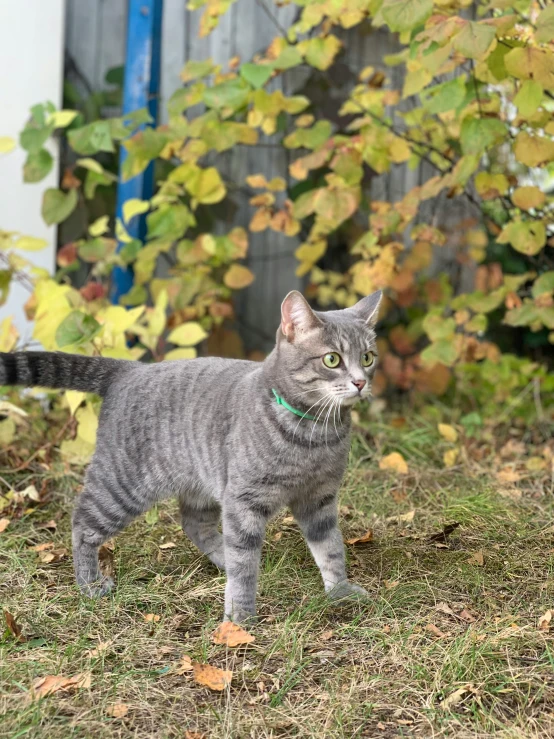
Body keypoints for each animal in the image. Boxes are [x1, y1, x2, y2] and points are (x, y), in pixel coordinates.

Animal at [0, 290, 380, 624]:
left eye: (368, 357)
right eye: (332, 359)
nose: (361, 382)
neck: (314, 436)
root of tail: (129, 370)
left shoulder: (319, 498)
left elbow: (330, 547)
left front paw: (340, 591)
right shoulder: (244, 499)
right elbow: (245, 564)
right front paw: (240, 617)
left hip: (202, 483)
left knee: (194, 524)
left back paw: (222, 558)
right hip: (122, 486)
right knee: (82, 523)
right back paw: (90, 584)